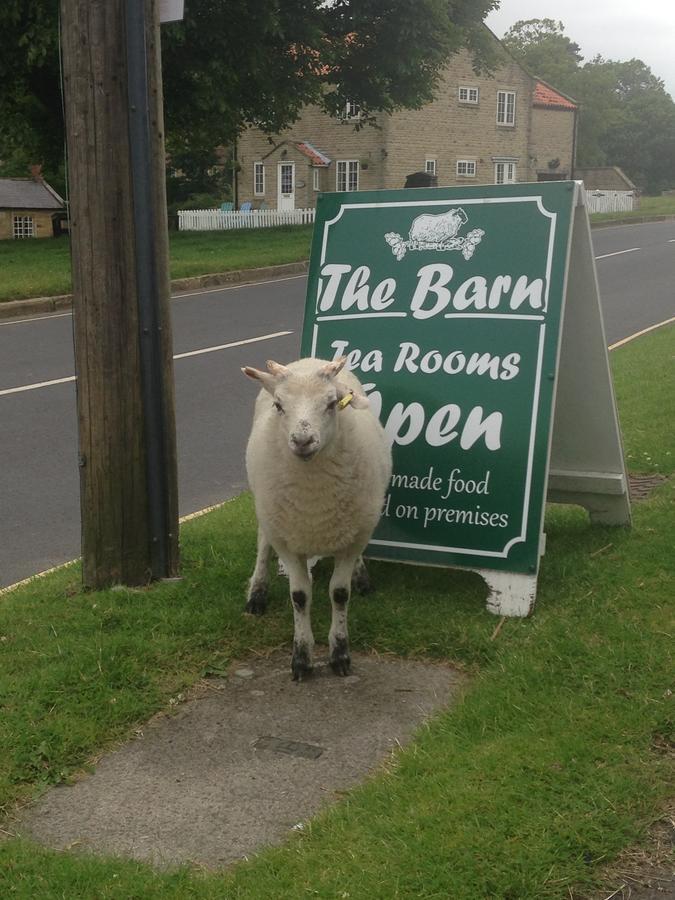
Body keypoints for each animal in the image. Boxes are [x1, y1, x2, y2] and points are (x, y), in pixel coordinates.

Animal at [242, 356, 390, 680]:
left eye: (332, 403)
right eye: (279, 405)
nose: (302, 440)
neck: (314, 498)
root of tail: (308, 360)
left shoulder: (354, 535)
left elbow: (340, 593)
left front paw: (340, 654)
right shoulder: (286, 538)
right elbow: (299, 596)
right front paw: (301, 657)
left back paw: (362, 577)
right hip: (268, 511)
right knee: (262, 543)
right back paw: (257, 593)